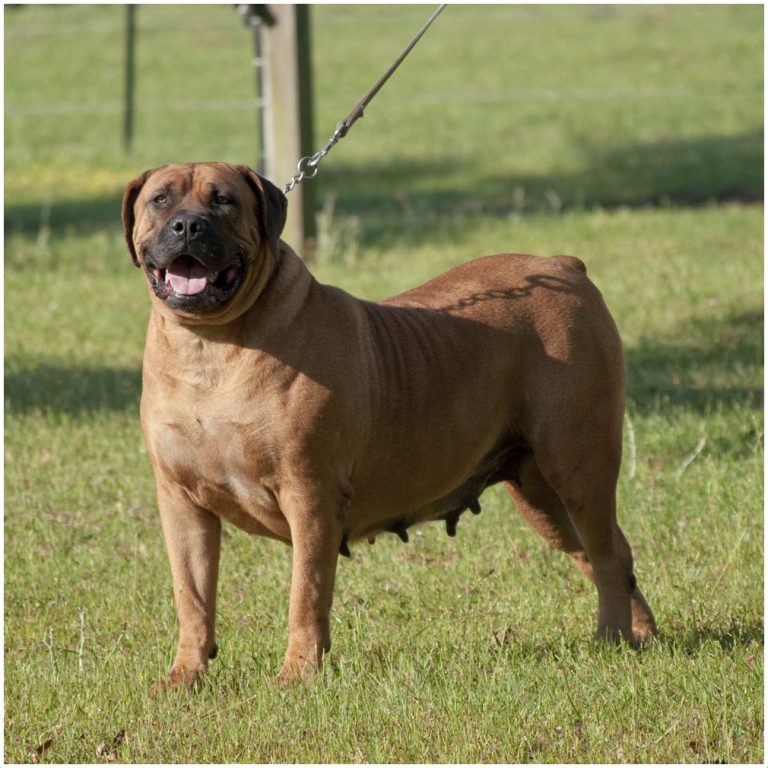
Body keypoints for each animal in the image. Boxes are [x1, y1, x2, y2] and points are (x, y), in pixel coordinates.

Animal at [123, 160, 656, 684]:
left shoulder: (309, 495)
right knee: (605, 551)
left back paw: (612, 638)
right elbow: (192, 597)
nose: (188, 225)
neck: (211, 349)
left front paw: (298, 675)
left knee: (607, 555)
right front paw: (185, 675)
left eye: (224, 200)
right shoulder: (181, 501)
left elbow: (306, 594)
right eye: (161, 200)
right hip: (541, 495)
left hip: (578, 465)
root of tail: (563, 266)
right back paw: (641, 634)